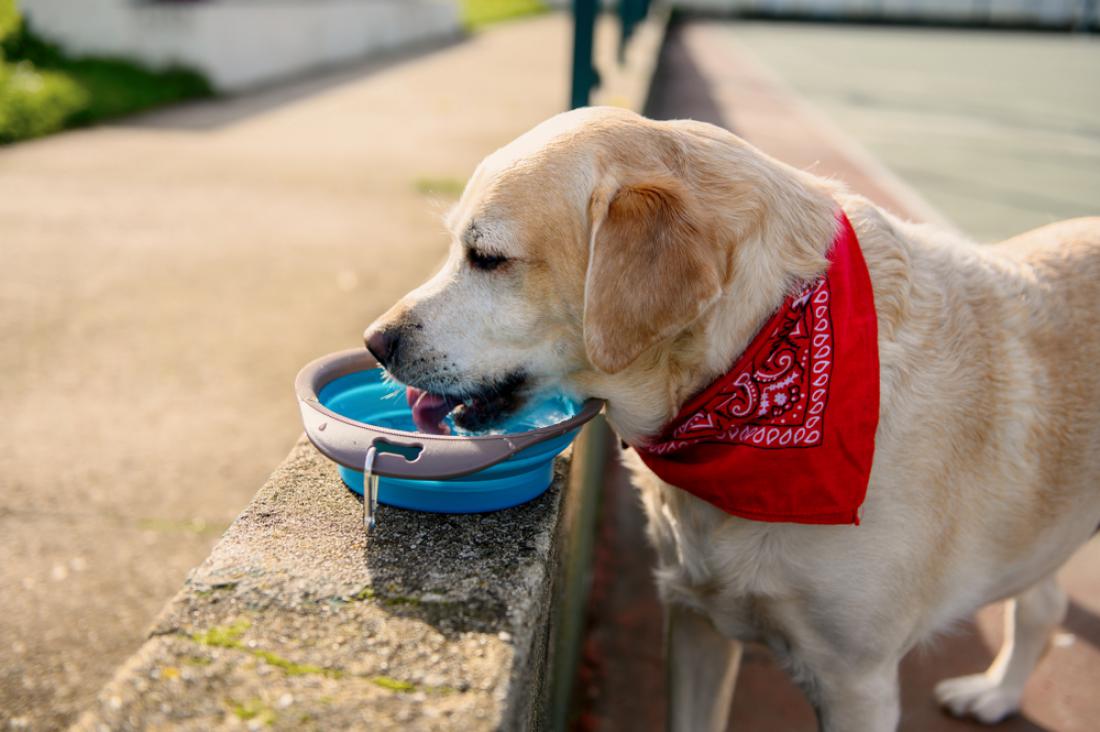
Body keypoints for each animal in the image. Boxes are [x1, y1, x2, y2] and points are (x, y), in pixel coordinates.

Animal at [363, 107, 1100, 730]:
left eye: (487, 257)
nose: (375, 340)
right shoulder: (695, 621)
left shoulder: (857, 682)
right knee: (1043, 604)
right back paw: (998, 693)